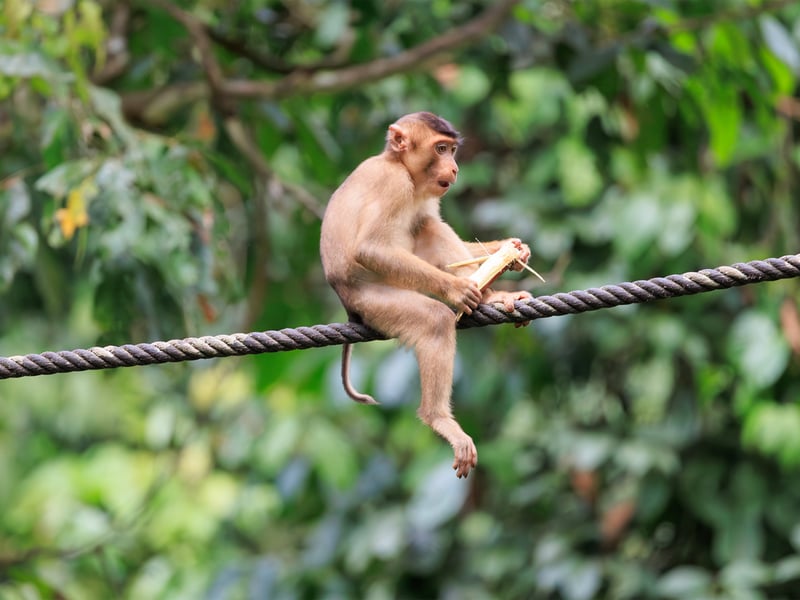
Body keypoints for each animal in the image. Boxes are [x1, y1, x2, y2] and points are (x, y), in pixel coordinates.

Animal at [320, 112, 532, 478]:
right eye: (441, 149)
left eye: (452, 150)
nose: (455, 167)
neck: (399, 164)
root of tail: (346, 303)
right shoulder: (394, 184)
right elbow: (370, 248)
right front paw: (458, 289)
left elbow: (429, 222)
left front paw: (512, 251)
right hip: (374, 300)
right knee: (433, 320)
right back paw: (438, 418)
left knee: (426, 225)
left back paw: (491, 296)